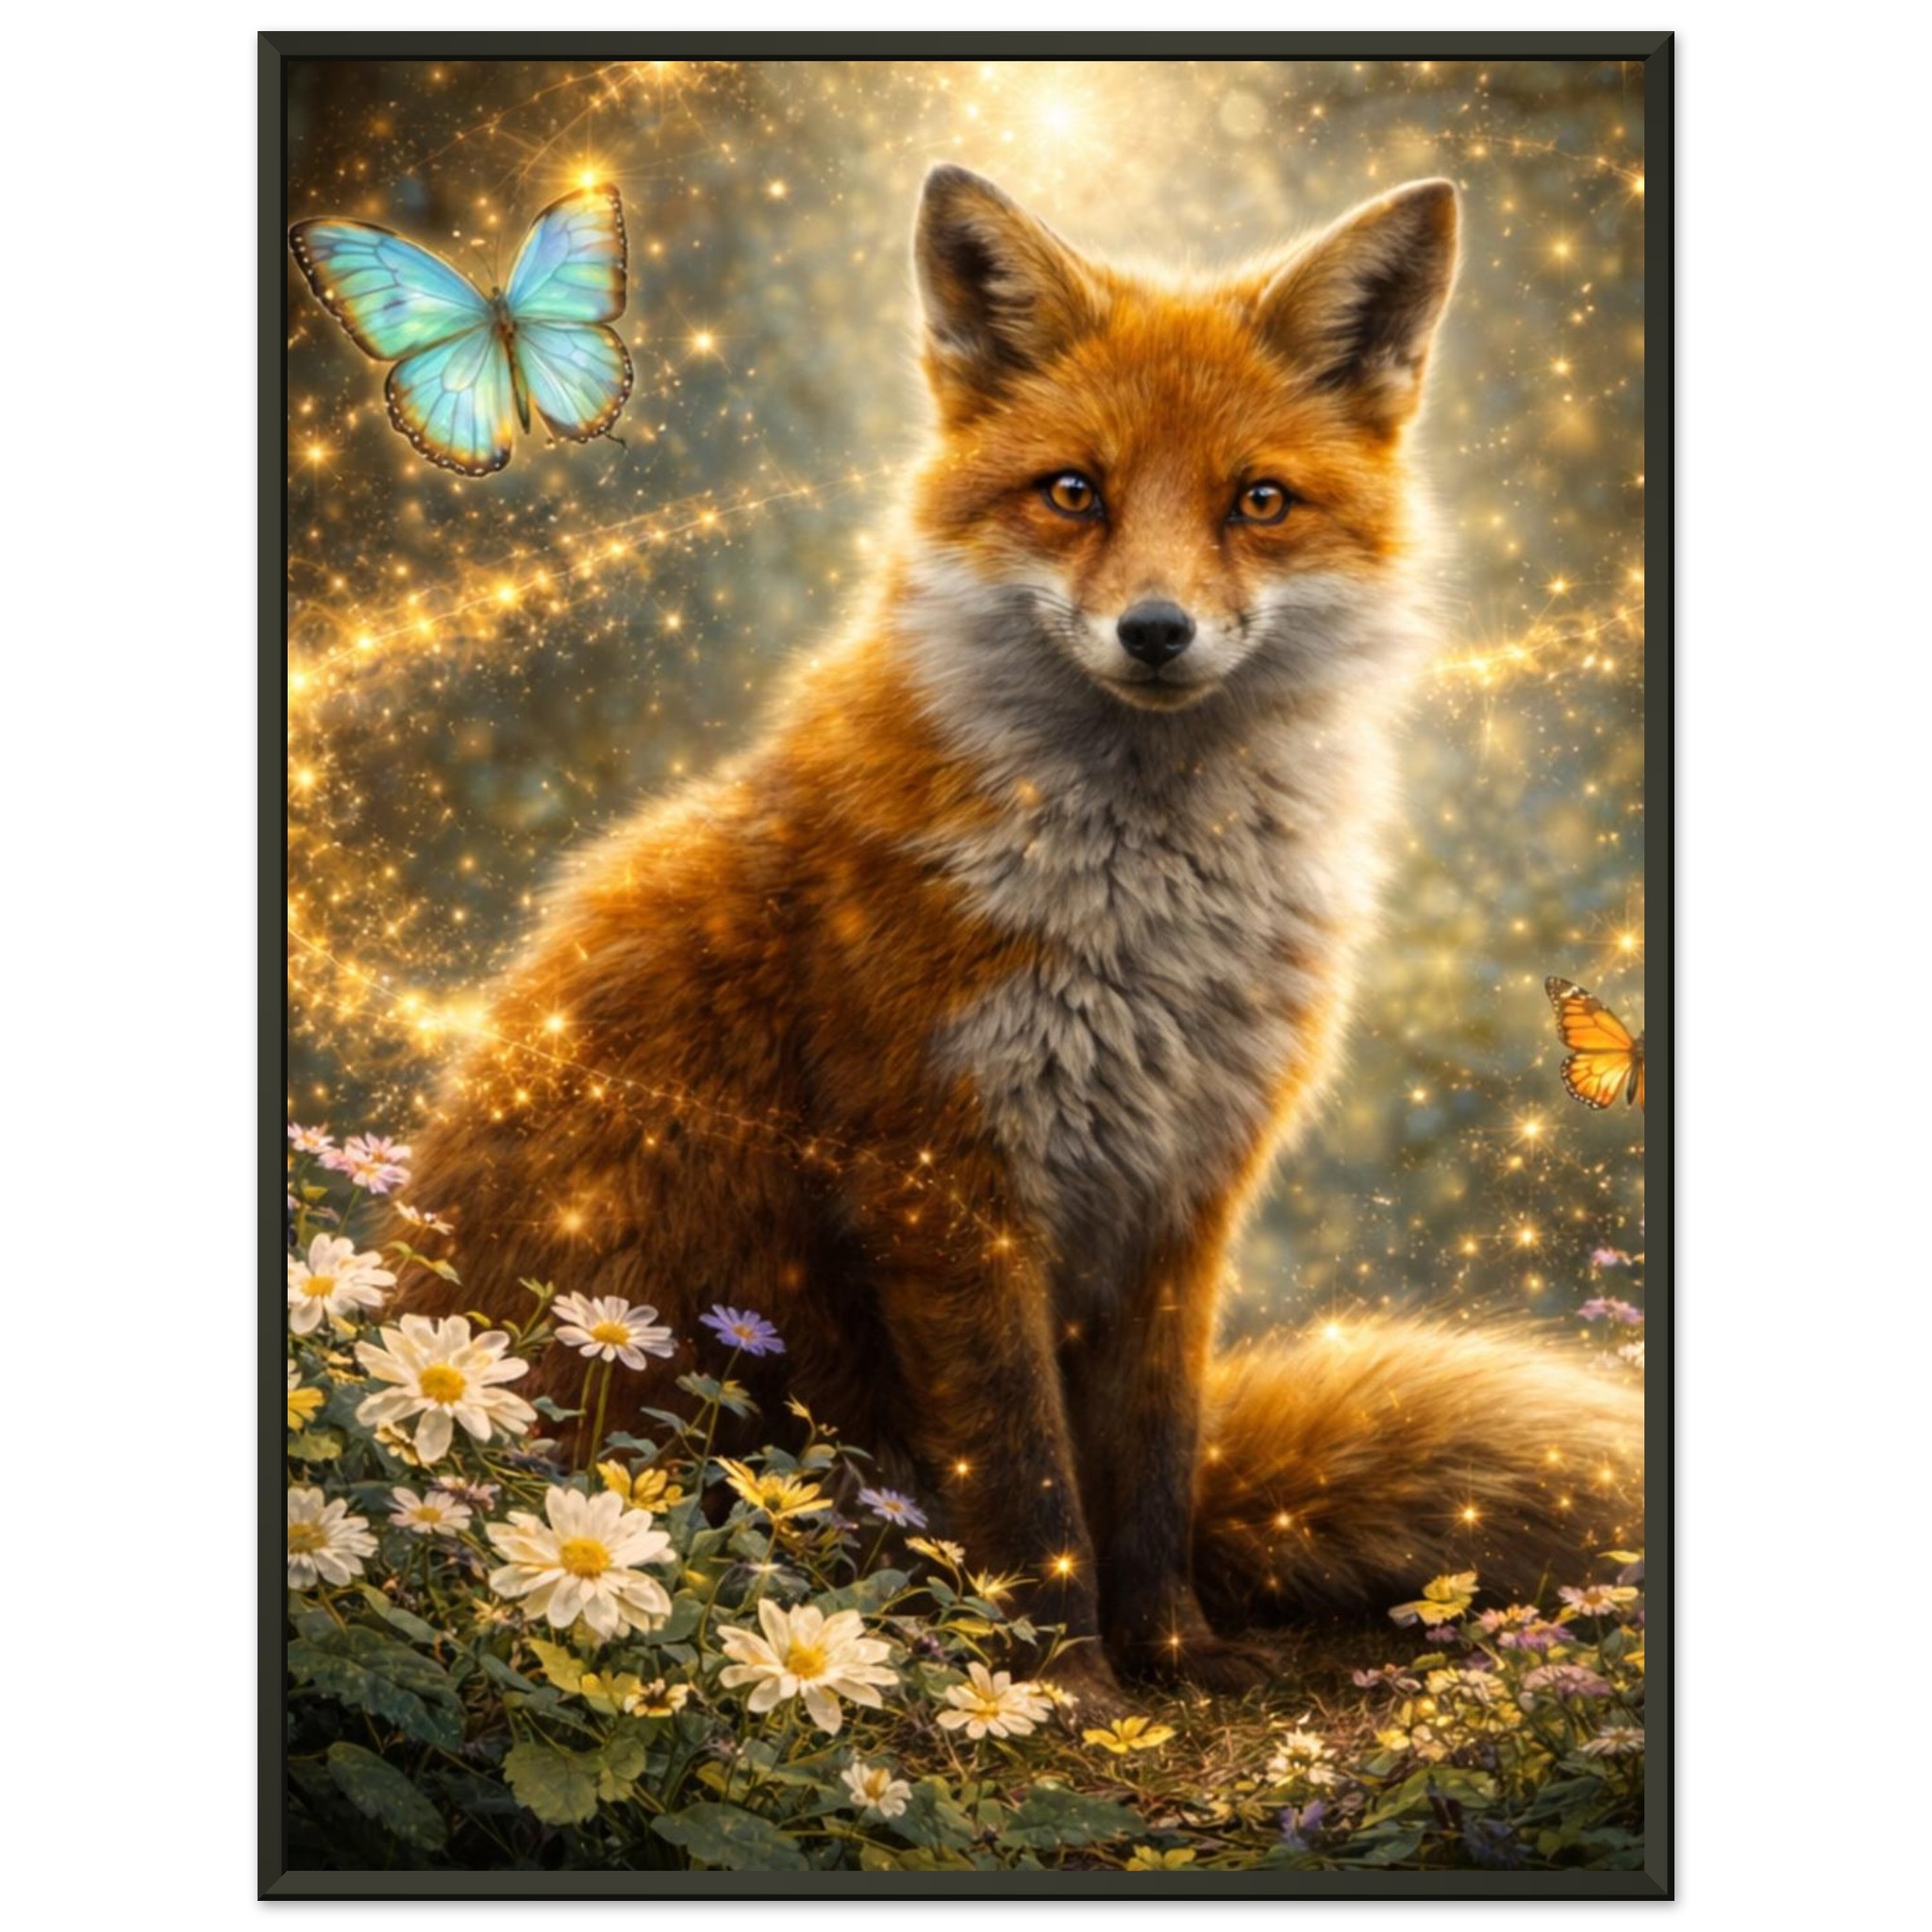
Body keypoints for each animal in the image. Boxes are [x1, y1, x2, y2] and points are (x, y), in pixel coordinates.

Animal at [393, 166, 1642, 1714]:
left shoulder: (1184, 1188)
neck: (1154, 919)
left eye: (1258, 502)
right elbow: (1031, 1487)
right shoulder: (944, 1181)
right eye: (1072, 492)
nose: (1155, 631)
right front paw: (1066, 1691)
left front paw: (1174, 1654)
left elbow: (1152, 1469)